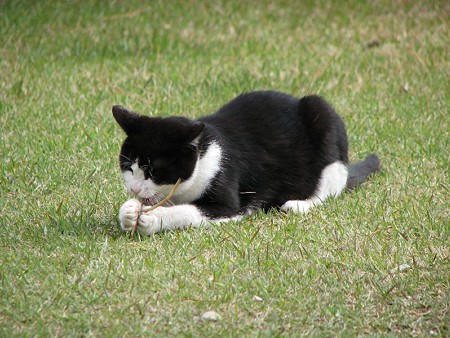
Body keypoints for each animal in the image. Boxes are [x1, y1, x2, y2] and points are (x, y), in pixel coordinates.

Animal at [113, 91, 380, 236]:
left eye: (155, 172)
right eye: (128, 167)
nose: (134, 188)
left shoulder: (229, 203)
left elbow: (188, 211)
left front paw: (153, 219)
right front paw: (128, 212)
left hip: (323, 117)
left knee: (330, 187)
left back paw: (298, 204)